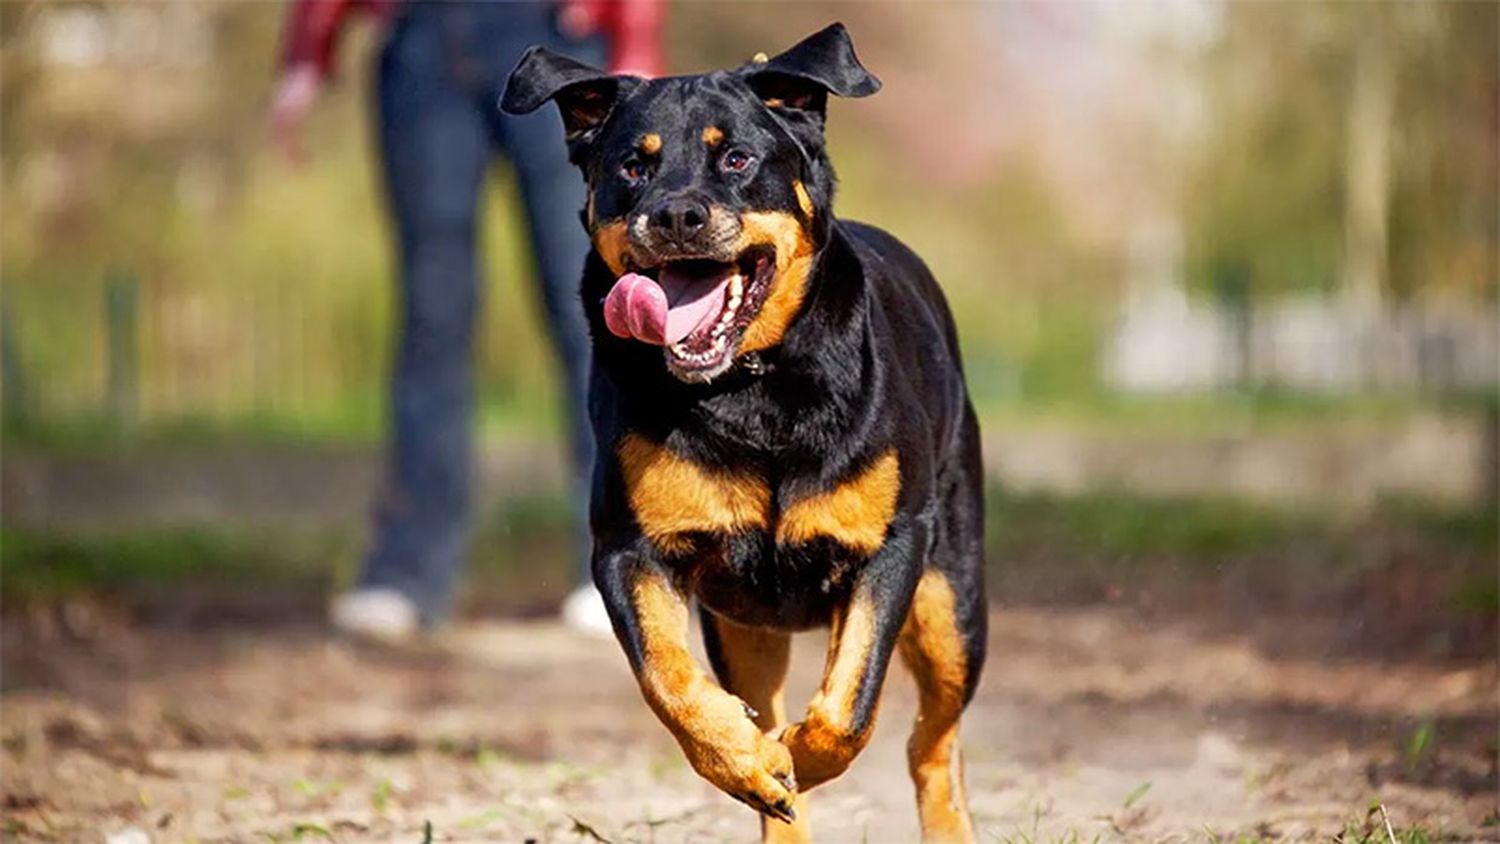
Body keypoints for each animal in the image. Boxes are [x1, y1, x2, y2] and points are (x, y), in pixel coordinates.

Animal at [504, 23, 990, 839]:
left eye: (736, 158)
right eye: (632, 165)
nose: (676, 215)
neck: (750, 386)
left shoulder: (893, 543)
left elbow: (851, 703)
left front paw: (804, 756)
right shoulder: (629, 549)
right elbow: (668, 678)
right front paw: (751, 763)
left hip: (953, 599)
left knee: (935, 738)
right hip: (745, 627)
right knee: (764, 704)